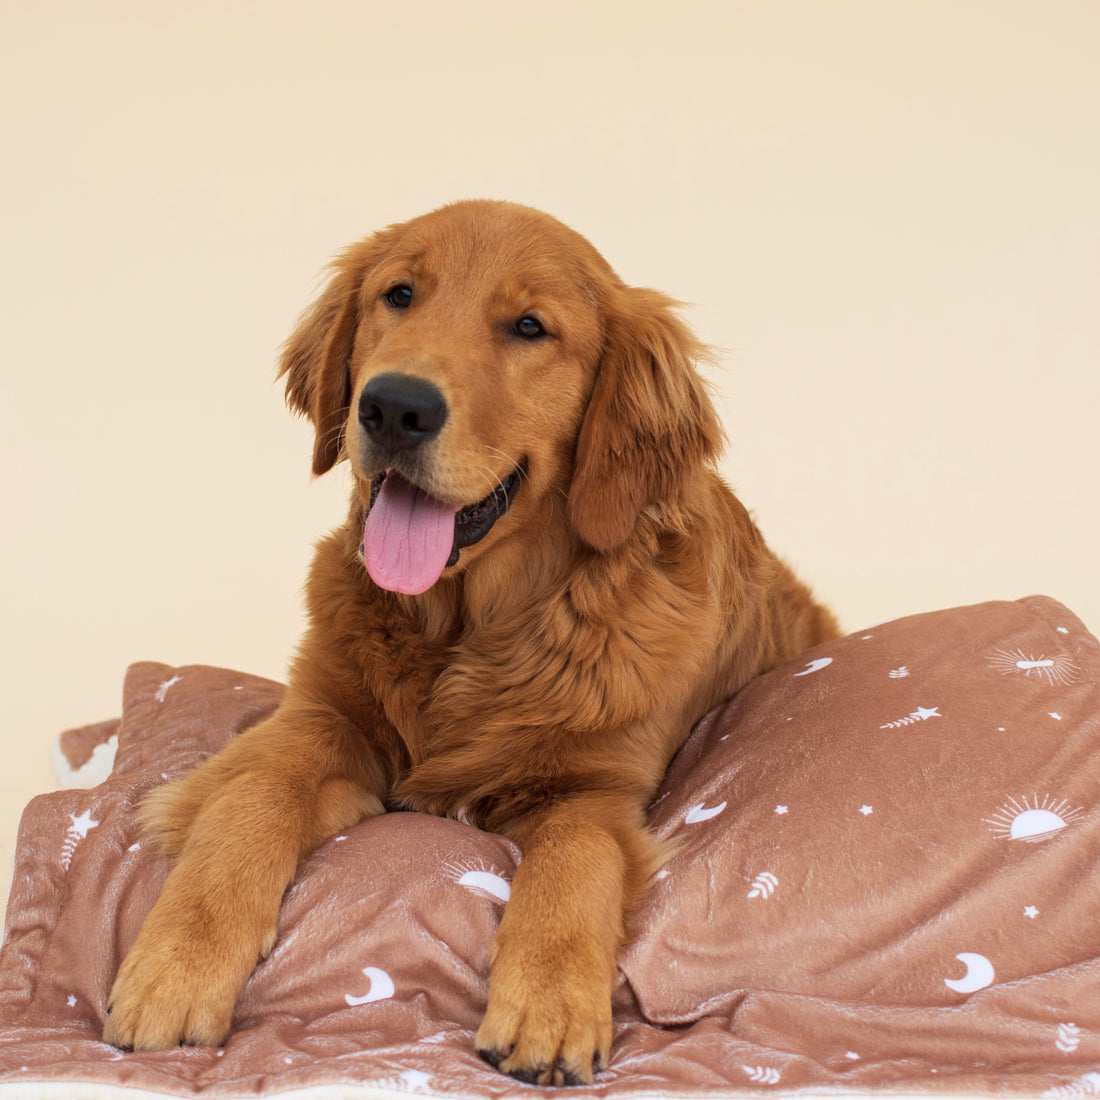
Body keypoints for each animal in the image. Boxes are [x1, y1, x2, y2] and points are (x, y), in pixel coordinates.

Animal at [105, 198, 840, 1082]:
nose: (395, 407)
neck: (465, 629)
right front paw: (175, 968)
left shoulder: (595, 789)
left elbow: (575, 861)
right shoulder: (320, 720)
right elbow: (248, 800)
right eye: (399, 294)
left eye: (529, 327)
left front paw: (549, 1007)